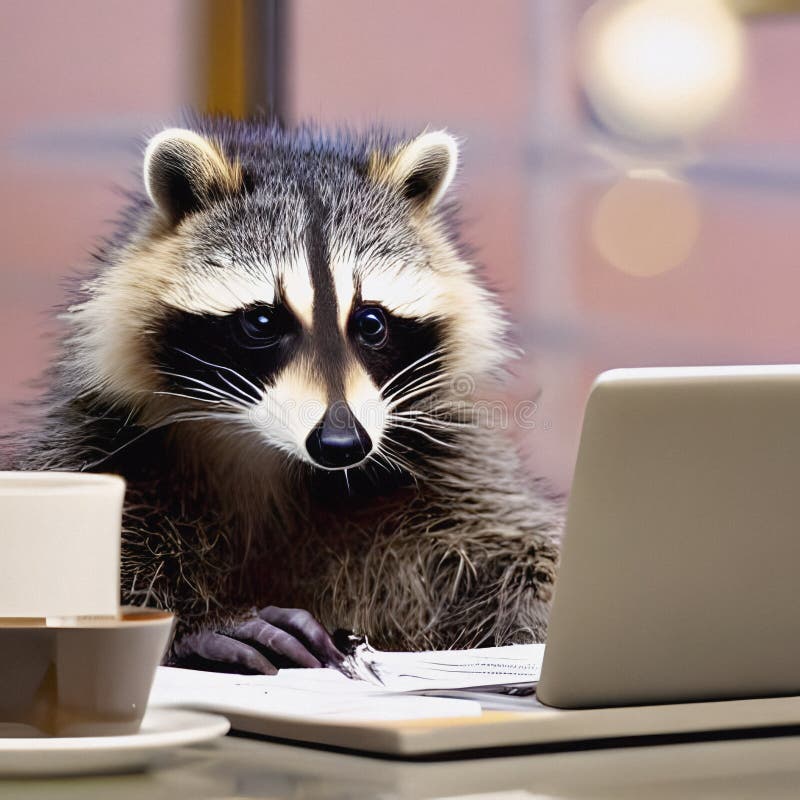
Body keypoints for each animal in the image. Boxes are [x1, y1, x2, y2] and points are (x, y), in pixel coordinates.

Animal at [3, 116, 562, 673]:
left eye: (371, 323)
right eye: (262, 322)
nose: (342, 444)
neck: (266, 450)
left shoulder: (447, 461)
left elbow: (523, 547)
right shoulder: (98, 443)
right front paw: (203, 620)